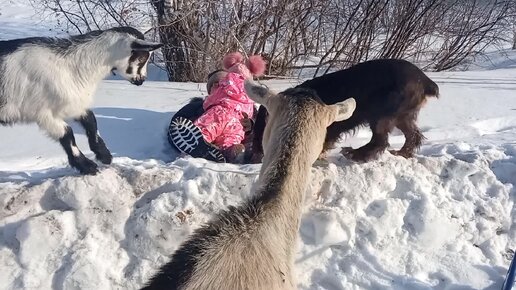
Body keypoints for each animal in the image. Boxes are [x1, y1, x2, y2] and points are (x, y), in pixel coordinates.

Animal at [0, 26, 162, 174]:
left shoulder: (73, 104)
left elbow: (91, 121)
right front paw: (87, 166)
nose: (141, 80)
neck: (70, 66)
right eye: (142, 57)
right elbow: (67, 134)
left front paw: (104, 155)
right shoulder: (43, 113)